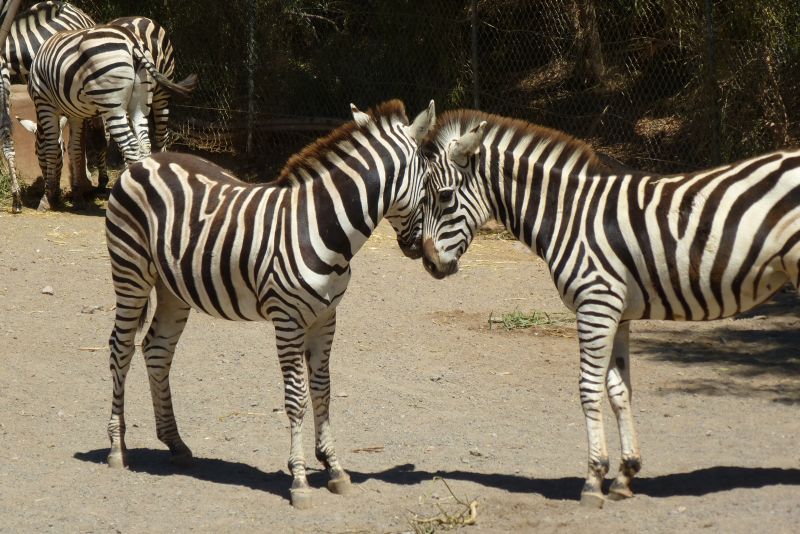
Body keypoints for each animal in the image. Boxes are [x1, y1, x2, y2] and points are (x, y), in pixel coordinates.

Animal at [27, 24, 197, 211]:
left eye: (36, 153)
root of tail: (132, 41)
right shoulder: (74, 114)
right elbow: (75, 149)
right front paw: (78, 197)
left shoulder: (44, 103)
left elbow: (52, 149)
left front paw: (47, 198)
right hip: (140, 103)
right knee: (145, 144)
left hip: (111, 103)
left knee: (131, 147)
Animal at [104, 99, 435, 509]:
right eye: (431, 182)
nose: (421, 252)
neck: (323, 227)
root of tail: (144, 163)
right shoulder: (288, 319)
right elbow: (296, 398)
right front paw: (299, 479)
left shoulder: (326, 317)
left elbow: (323, 389)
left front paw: (334, 468)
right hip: (130, 271)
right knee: (121, 349)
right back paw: (117, 448)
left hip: (172, 288)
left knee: (157, 350)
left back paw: (176, 443)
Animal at [418, 109, 800, 508]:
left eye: (444, 196)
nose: (428, 262)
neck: (568, 214)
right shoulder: (619, 314)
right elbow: (619, 390)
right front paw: (625, 474)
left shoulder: (595, 304)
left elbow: (588, 387)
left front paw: (593, 478)